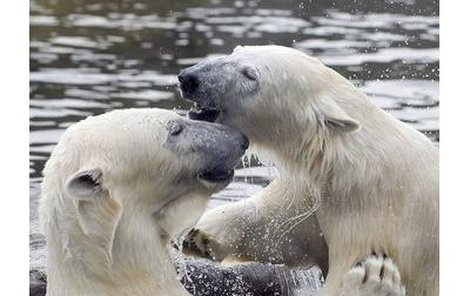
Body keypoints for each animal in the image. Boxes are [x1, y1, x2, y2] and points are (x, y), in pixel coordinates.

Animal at [178, 45, 438, 296]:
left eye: (251, 75)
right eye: (235, 52)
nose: (189, 78)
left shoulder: (377, 220)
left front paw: (372, 279)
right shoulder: (317, 194)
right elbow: (280, 231)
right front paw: (201, 235)